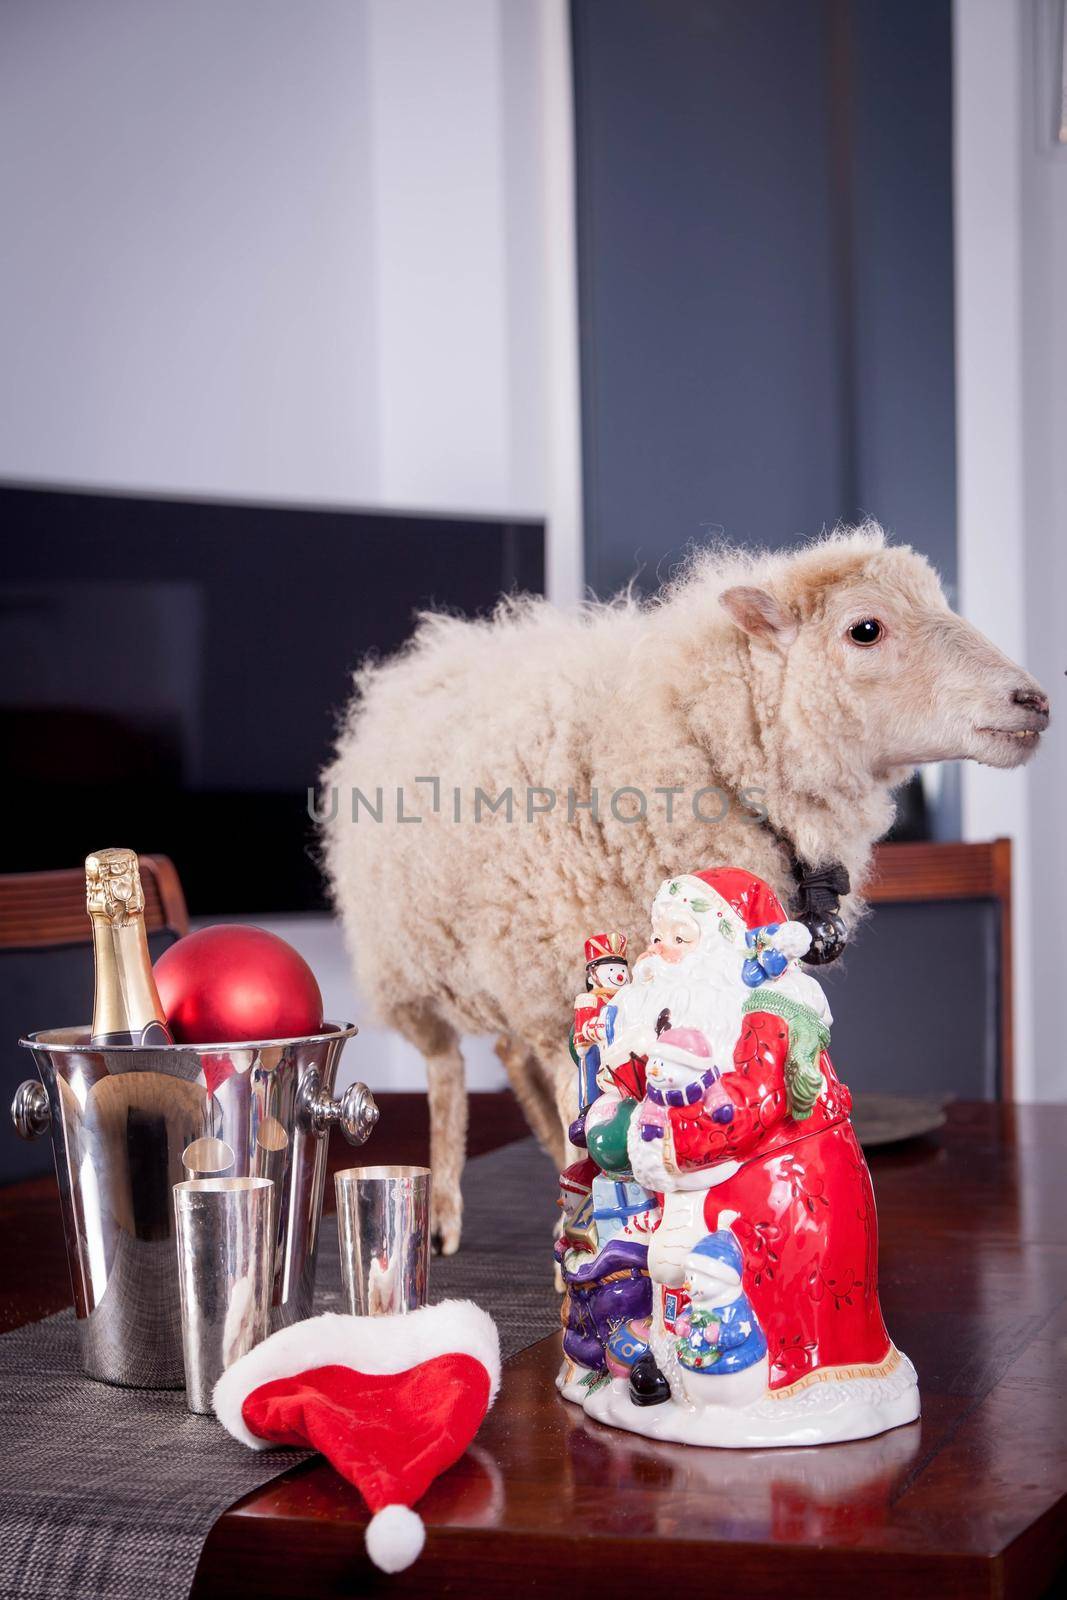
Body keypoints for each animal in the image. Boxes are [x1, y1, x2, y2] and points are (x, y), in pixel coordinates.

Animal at [319, 524, 1049, 1248]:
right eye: (864, 629)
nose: (1035, 701)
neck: (699, 742)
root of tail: (431, 653)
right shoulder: (562, 980)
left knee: (510, 1052)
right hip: (412, 963)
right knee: (447, 1073)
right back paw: (446, 1208)